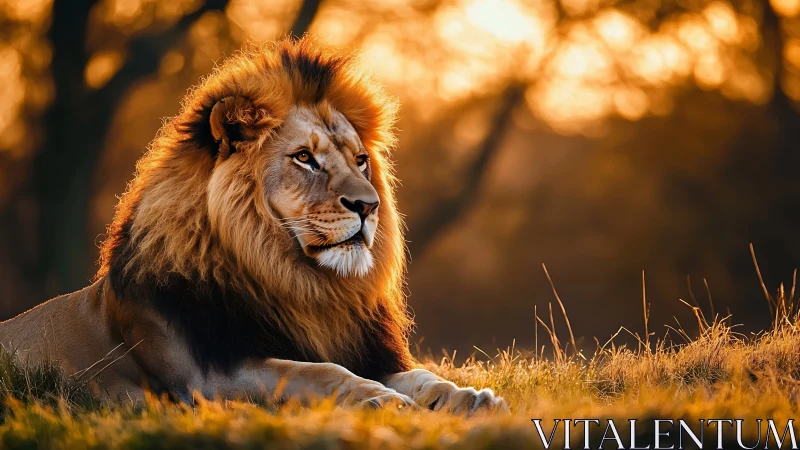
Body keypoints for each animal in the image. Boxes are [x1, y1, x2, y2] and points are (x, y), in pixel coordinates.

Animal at [0, 37, 505, 414]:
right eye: (305, 158)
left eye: (361, 160)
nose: (369, 205)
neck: (295, 283)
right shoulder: (205, 379)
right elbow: (314, 372)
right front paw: (383, 399)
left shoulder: (355, 346)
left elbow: (419, 375)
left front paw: (467, 397)